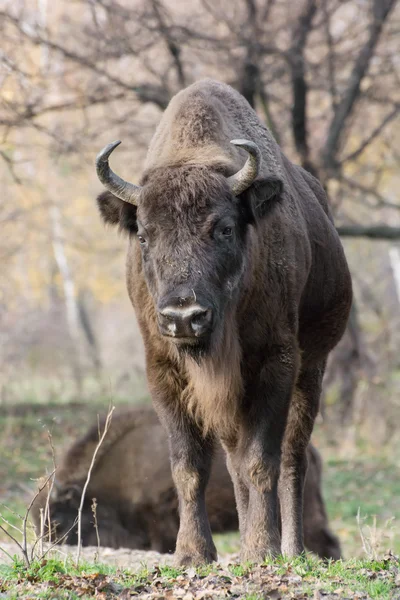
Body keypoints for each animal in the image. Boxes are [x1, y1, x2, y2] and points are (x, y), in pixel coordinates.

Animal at [95, 78, 352, 564]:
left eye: (224, 228)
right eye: (144, 236)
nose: (184, 317)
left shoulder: (276, 363)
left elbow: (262, 460)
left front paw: (262, 547)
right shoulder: (165, 371)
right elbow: (190, 465)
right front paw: (193, 552)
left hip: (313, 368)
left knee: (293, 458)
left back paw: (290, 548)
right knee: (234, 463)